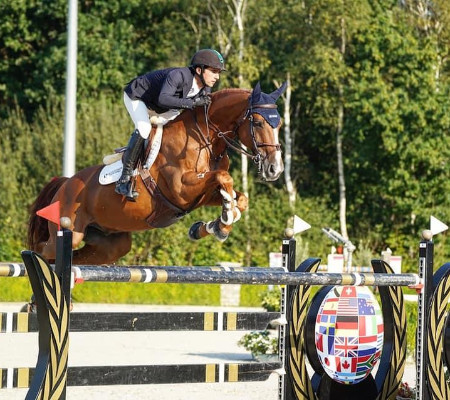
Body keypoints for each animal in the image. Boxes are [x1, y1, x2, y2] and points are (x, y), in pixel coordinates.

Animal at [28, 82, 286, 265]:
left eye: (280, 124)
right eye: (258, 123)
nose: (275, 168)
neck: (204, 139)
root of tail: (65, 184)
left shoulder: (202, 195)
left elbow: (238, 198)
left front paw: (215, 225)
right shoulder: (181, 190)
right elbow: (225, 178)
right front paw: (221, 223)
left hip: (110, 245)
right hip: (70, 231)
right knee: (42, 250)